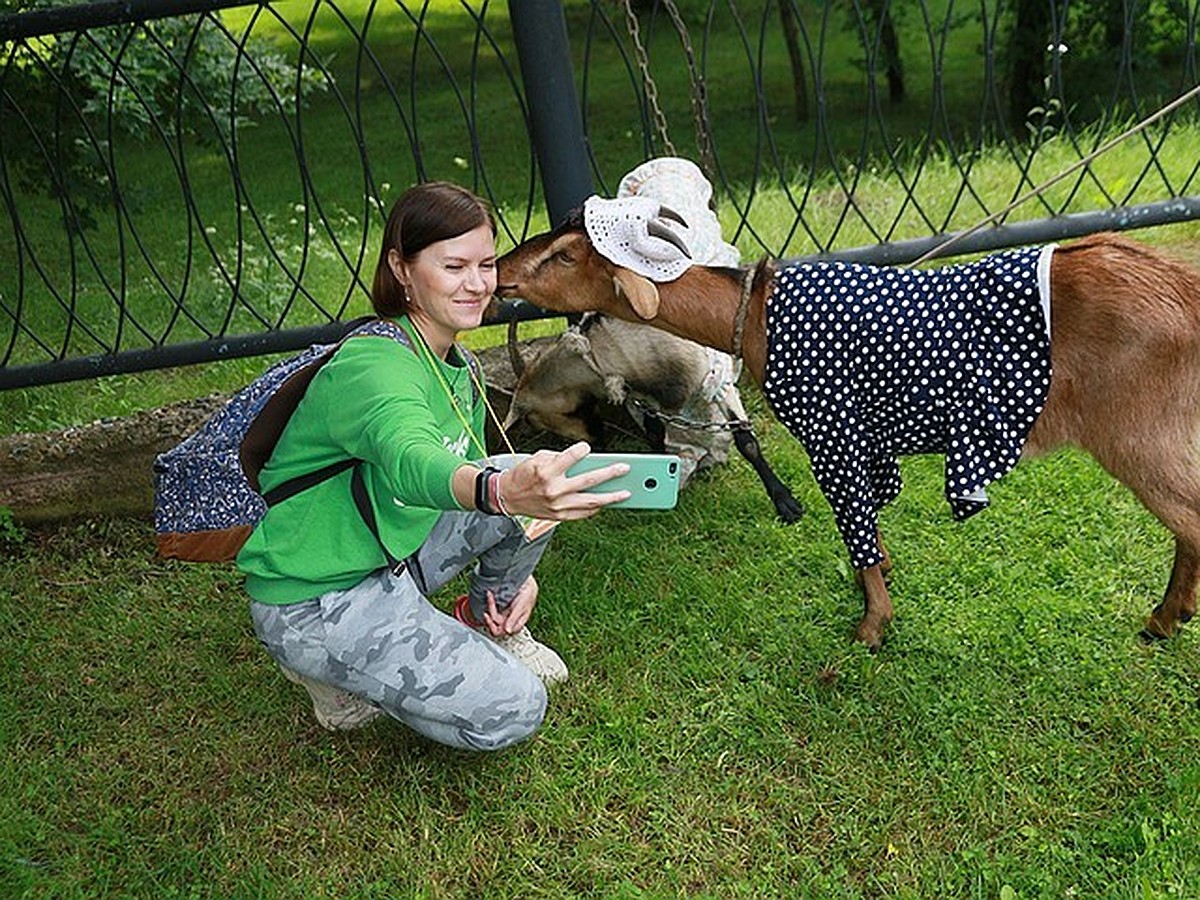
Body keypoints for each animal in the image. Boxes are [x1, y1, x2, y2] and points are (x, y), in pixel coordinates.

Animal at [494, 222, 1200, 652]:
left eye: (565, 254)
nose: (499, 270)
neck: (756, 315)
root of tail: (1183, 288)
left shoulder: (830, 433)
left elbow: (851, 522)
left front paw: (870, 626)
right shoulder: (866, 440)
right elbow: (873, 519)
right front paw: (879, 581)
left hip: (1143, 432)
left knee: (1190, 520)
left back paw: (1165, 620)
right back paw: (1167, 620)